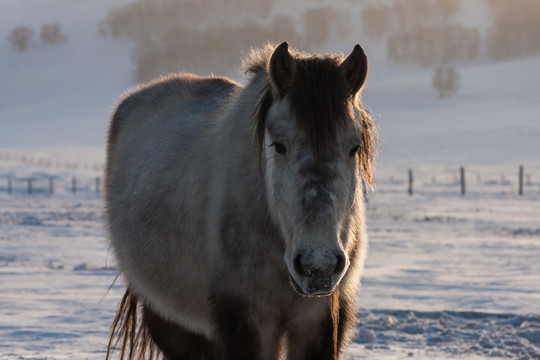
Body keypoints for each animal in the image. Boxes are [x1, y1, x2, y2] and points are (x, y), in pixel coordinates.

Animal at [104, 43, 376, 360]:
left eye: (354, 147)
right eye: (278, 145)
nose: (317, 267)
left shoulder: (318, 320)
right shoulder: (245, 321)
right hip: (171, 320)